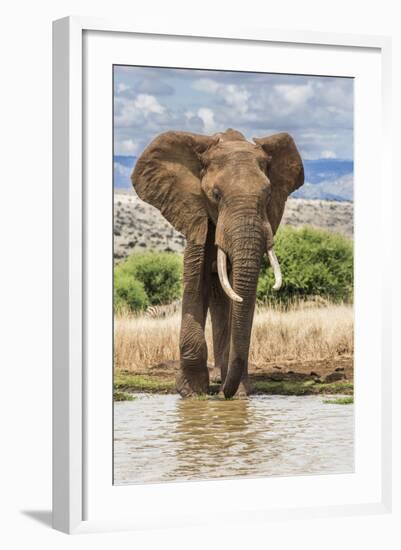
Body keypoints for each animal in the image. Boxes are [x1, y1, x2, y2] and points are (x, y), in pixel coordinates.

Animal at [131, 128, 304, 402]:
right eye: (215, 195)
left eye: (268, 195)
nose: (224, 395)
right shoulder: (195, 216)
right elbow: (195, 285)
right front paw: (191, 393)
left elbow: (238, 297)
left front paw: (240, 394)